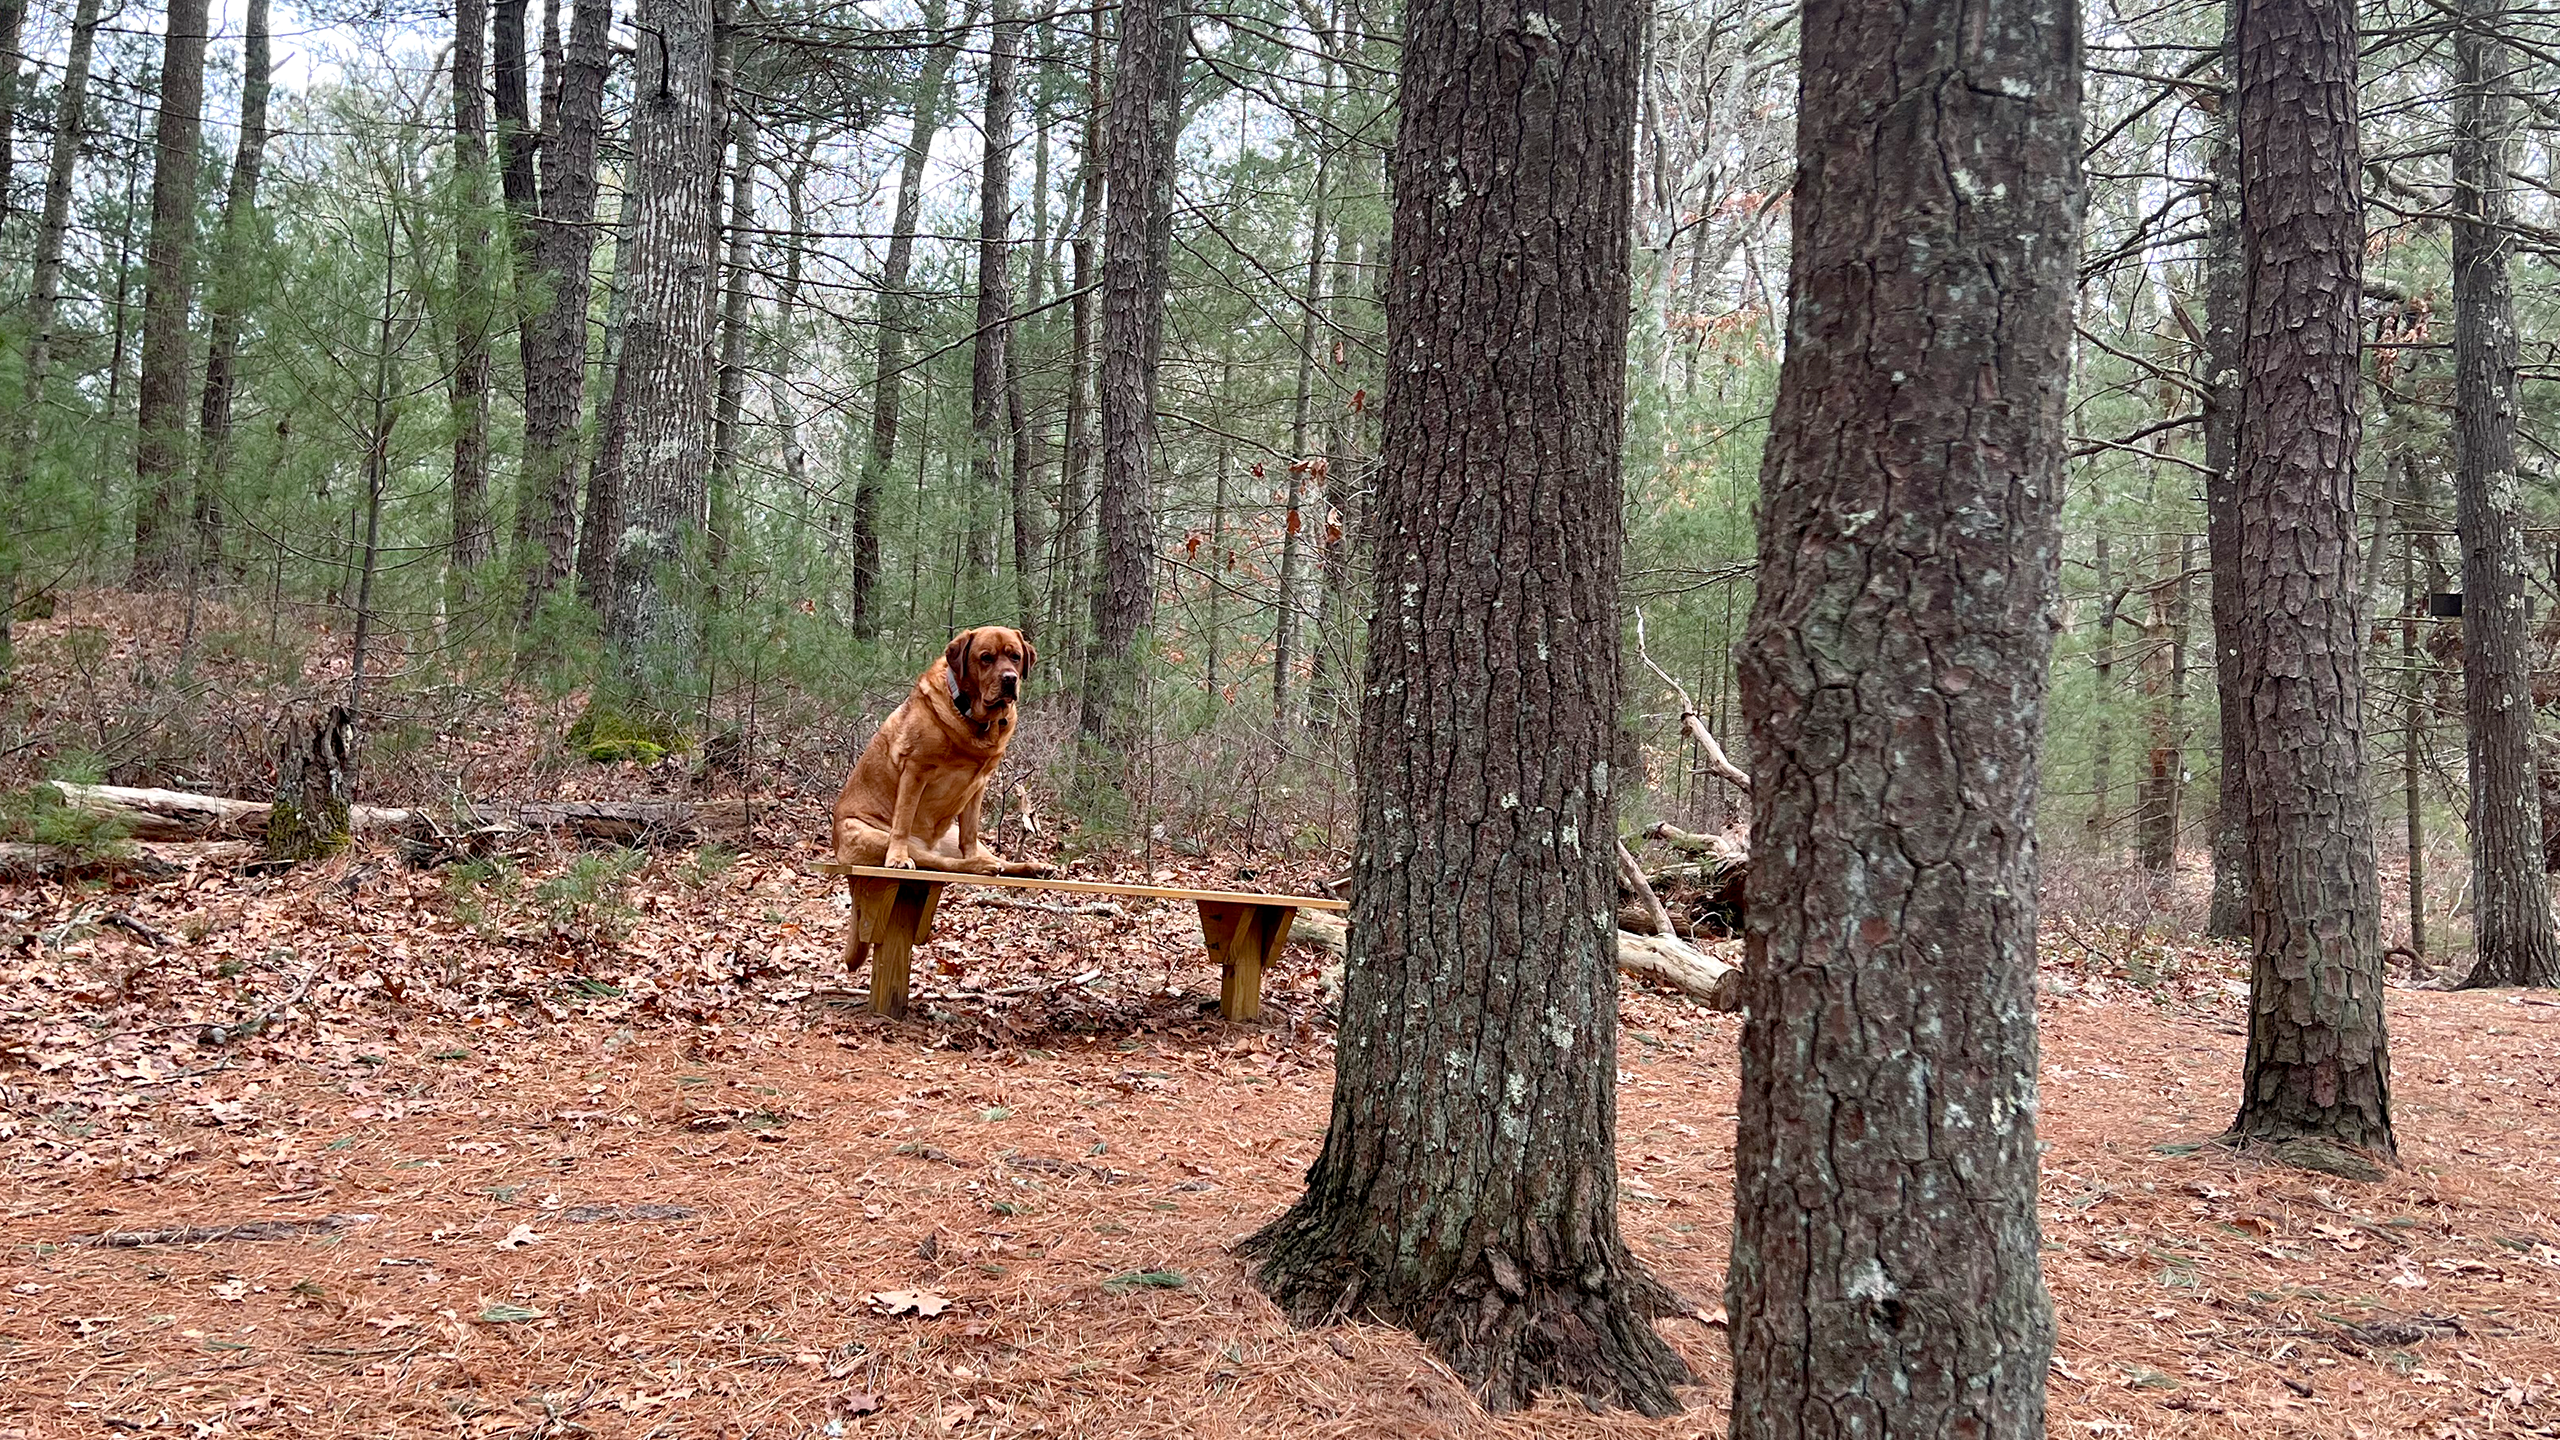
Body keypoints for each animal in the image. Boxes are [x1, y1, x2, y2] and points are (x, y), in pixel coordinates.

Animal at [829, 620, 1049, 876]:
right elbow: (903, 820)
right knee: (941, 862)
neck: (975, 720)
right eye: (986, 658)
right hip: (872, 835)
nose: (1010, 678)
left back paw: (1032, 866)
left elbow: (970, 833)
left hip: (953, 836)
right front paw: (897, 857)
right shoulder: (915, 769)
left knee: (981, 857)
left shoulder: (979, 784)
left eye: (1015, 656)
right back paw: (978, 865)